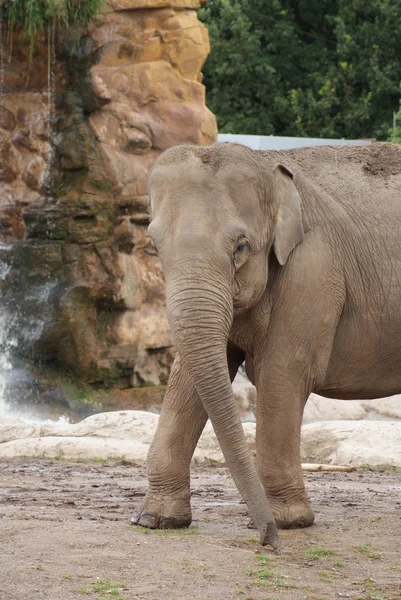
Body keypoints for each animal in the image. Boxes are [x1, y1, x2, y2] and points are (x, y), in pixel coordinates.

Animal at [131, 142, 400, 548]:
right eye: (154, 246)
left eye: (241, 246)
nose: (267, 542)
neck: (269, 163)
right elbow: (190, 378)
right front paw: (154, 519)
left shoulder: (313, 269)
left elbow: (282, 374)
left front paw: (288, 522)